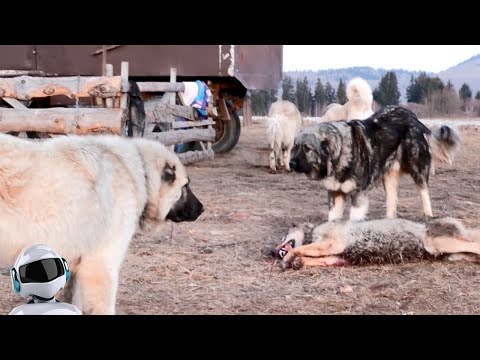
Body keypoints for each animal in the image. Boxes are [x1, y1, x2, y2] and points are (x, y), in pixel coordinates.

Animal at [288, 105, 462, 221]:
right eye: (294, 147)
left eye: (307, 148)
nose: (291, 164)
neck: (340, 153)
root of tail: (413, 117)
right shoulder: (335, 194)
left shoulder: (358, 195)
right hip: (389, 179)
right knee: (392, 202)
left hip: (417, 168)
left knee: (424, 190)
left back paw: (428, 215)